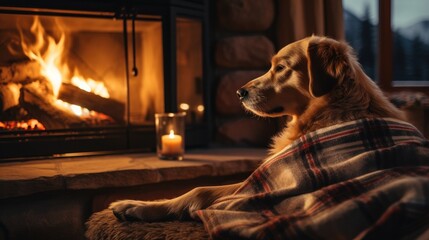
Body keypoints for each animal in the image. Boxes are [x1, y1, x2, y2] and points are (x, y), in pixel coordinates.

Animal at [108, 35, 402, 223]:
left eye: (281, 67)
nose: (239, 92)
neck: (329, 110)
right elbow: (202, 190)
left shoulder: (267, 184)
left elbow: (199, 190)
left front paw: (136, 206)